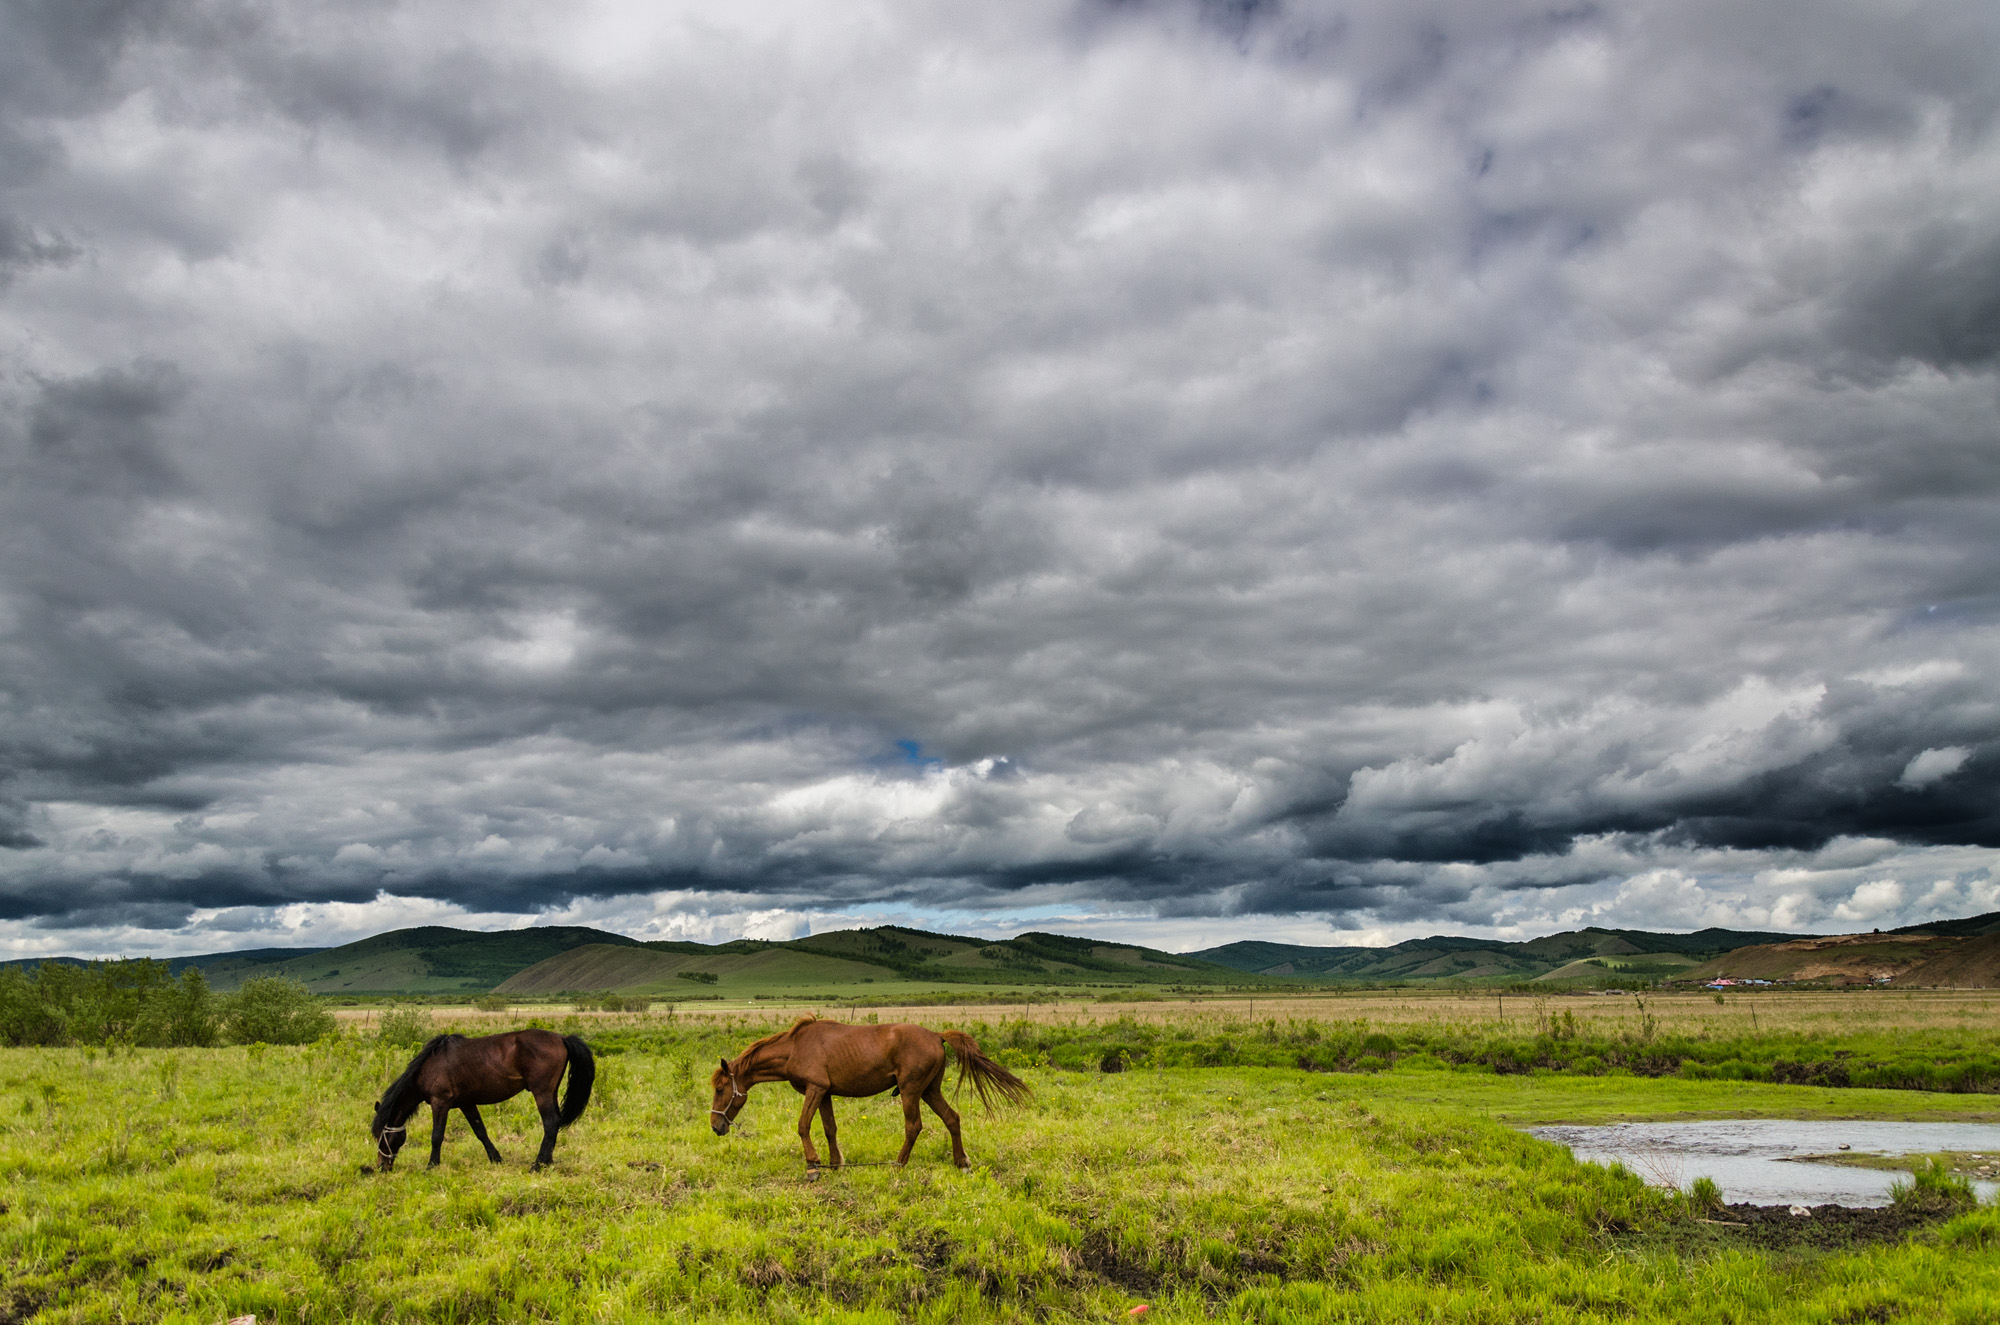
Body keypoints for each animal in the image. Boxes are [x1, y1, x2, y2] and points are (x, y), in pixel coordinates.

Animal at [372, 1024, 592, 1176]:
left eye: (382, 1137)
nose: (382, 1167)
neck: (429, 1066)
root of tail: (562, 1038)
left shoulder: (440, 1103)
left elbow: (437, 1136)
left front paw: (431, 1166)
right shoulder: (466, 1103)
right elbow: (480, 1131)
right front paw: (496, 1159)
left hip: (542, 1093)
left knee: (550, 1123)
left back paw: (537, 1164)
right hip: (551, 1093)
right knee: (554, 1124)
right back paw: (548, 1162)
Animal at [712, 1020, 1032, 1176]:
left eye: (719, 1089)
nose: (716, 1127)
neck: (794, 1047)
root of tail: (936, 1035)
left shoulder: (815, 1089)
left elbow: (803, 1126)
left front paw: (813, 1165)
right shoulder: (824, 1093)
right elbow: (829, 1129)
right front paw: (835, 1164)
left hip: (911, 1091)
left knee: (914, 1126)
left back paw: (899, 1164)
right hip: (930, 1091)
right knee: (952, 1118)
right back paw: (961, 1162)